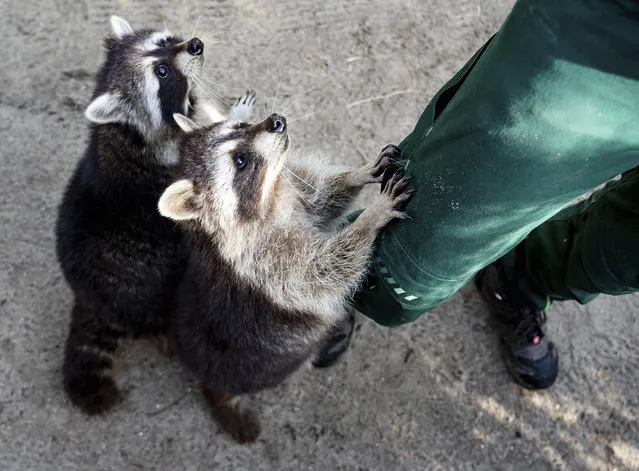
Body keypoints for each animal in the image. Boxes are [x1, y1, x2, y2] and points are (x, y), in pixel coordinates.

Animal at [158, 112, 412, 444]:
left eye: (241, 126)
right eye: (240, 161)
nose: (276, 120)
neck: (272, 198)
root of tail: (207, 377)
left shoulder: (295, 196)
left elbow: (322, 201)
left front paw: (357, 174)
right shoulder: (269, 265)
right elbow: (323, 272)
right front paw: (370, 219)